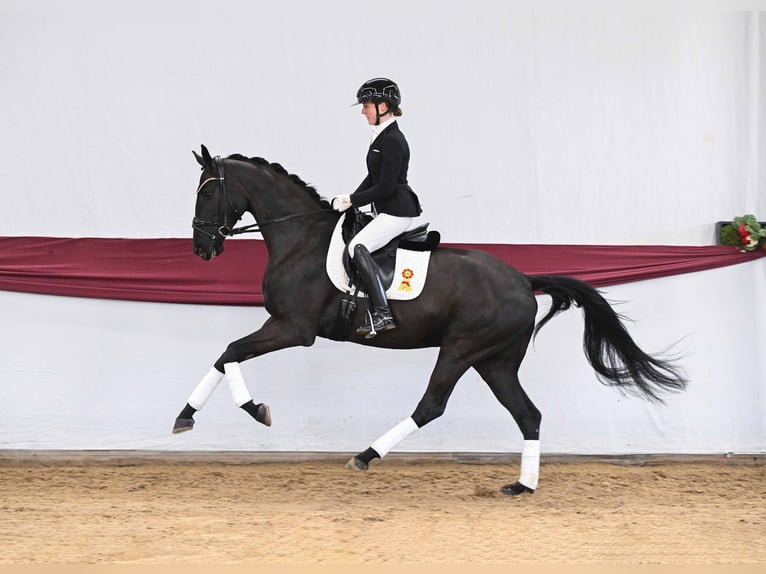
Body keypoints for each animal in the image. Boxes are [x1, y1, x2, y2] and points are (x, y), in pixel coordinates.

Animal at [173, 145, 687, 496]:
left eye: (207, 192)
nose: (201, 247)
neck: (300, 239)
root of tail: (523, 279)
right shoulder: (283, 327)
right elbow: (224, 357)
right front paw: (187, 417)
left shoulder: (293, 329)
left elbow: (231, 352)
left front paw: (252, 410)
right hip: (495, 361)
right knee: (527, 413)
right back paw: (522, 486)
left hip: (461, 350)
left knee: (432, 406)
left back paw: (365, 456)